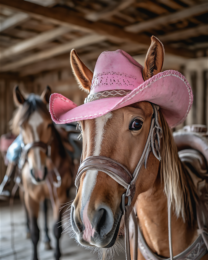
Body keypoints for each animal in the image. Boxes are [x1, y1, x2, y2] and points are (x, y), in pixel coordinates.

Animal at [11, 87, 74, 260]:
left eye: (48, 125)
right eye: (21, 126)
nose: (38, 173)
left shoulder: (59, 196)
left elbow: (56, 230)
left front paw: (56, 252)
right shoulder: (30, 197)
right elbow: (34, 233)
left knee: (45, 210)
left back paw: (47, 240)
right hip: (23, 190)